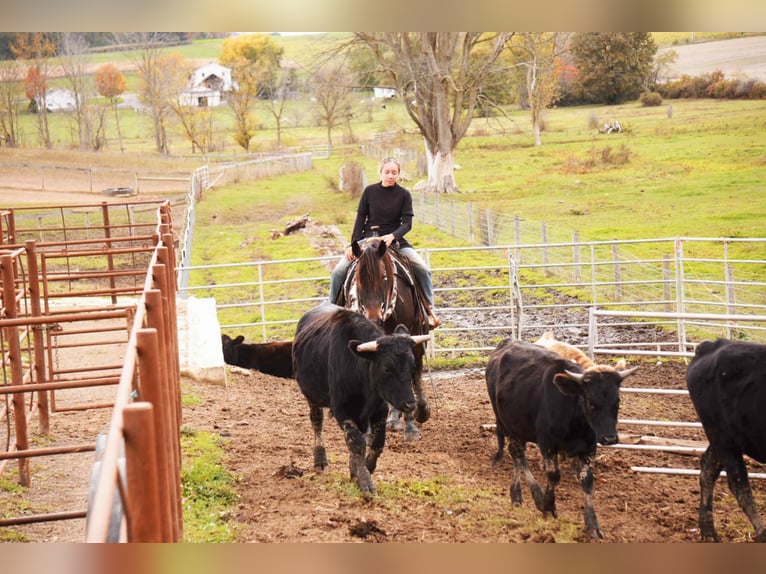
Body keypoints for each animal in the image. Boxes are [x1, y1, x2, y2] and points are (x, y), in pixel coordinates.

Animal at [336, 237, 432, 441]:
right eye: (359, 278)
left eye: (384, 277)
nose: (373, 316)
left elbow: (410, 372)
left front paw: (411, 426)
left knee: (417, 371)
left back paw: (417, 412)